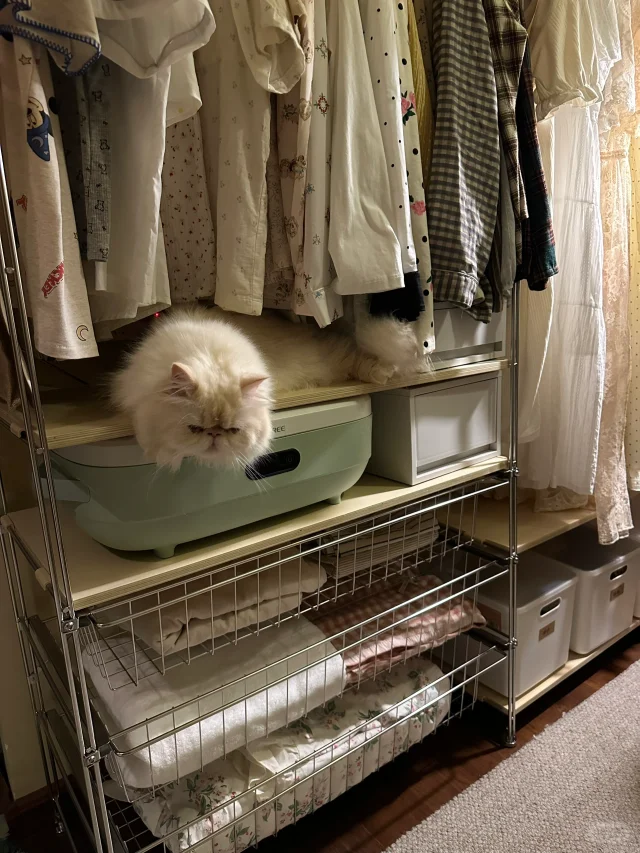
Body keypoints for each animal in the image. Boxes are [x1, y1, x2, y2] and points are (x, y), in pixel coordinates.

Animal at [112, 308, 411, 470]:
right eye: (195, 429)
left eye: (233, 430)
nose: (214, 435)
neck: (207, 353)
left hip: (331, 359)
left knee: (358, 358)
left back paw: (385, 372)